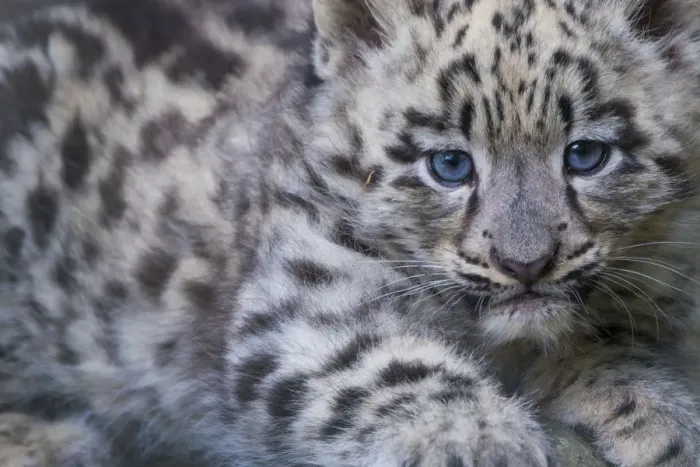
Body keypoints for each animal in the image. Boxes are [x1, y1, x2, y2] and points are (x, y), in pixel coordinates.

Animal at [1, 0, 700, 465]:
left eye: (586, 154)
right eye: (449, 164)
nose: (525, 263)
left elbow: (617, 335)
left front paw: (656, 414)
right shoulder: (301, 301)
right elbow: (380, 364)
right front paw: (476, 438)